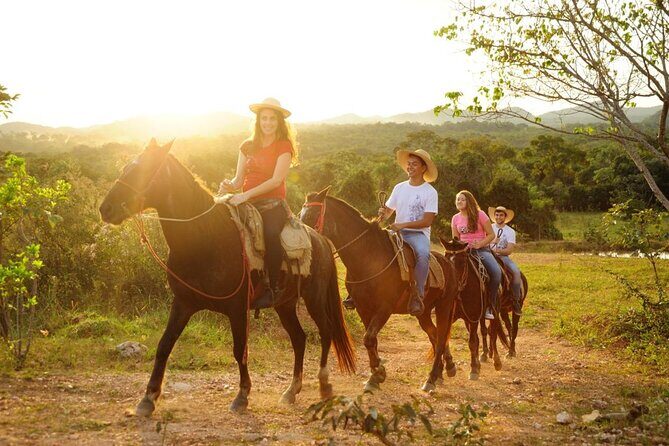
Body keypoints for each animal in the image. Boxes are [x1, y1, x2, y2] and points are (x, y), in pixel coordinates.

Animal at [99, 139, 355, 415]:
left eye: (141, 170)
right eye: (125, 168)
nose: (105, 209)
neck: (205, 238)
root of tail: (321, 240)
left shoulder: (236, 307)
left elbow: (239, 349)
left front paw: (242, 396)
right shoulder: (183, 303)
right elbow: (164, 345)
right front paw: (148, 398)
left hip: (314, 298)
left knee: (326, 331)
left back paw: (324, 384)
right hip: (285, 304)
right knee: (299, 338)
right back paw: (291, 391)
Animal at [300, 188, 464, 392]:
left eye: (312, 215)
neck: (369, 257)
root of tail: (449, 265)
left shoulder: (384, 308)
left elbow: (369, 338)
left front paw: (377, 374)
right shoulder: (363, 307)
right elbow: (371, 340)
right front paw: (376, 374)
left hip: (444, 306)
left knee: (441, 338)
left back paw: (431, 378)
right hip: (424, 312)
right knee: (434, 335)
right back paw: (445, 368)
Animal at [440, 238, 510, 374]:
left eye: (462, 262)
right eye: (446, 259)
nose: (451, 285)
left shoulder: (473, 318)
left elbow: (472, 342)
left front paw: (473, 369)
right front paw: (450, 366)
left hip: (494, 311)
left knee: (493, 335)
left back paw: (497, 361)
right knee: (483, 333)